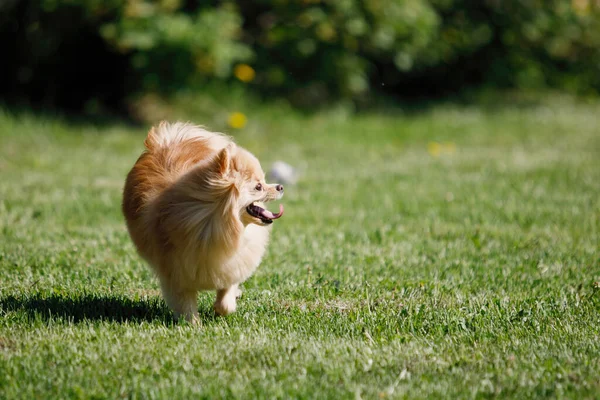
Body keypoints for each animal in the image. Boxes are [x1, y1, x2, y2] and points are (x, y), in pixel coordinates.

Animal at [122, 121, 284, 322]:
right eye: (259, 186)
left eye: (263, 181)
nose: (280, 186)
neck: (216, 223)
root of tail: (168, 140)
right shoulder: (177, 272)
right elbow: (185, 303)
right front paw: (193, 324)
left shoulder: (232, 263)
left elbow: (226, 293)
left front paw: (224, 307)